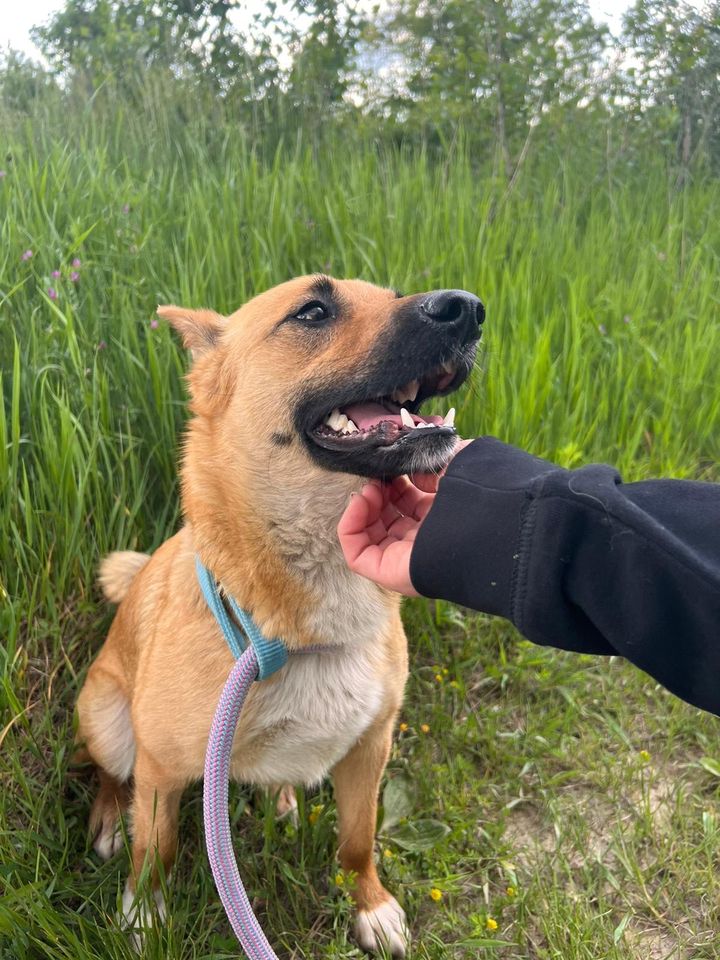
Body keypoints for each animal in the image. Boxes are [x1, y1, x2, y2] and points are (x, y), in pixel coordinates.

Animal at [76, 274, 484, 956]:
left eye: (391, 293)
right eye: (312, 311)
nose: (469, 309)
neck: (287, 628)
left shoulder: (370, 747)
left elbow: (357, 842)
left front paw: (370, 906)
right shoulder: (161, 765)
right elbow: (155, 847)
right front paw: (144, 916)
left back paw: (282, 796)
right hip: (107, 717)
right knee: (112, 774)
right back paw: (109, 817)